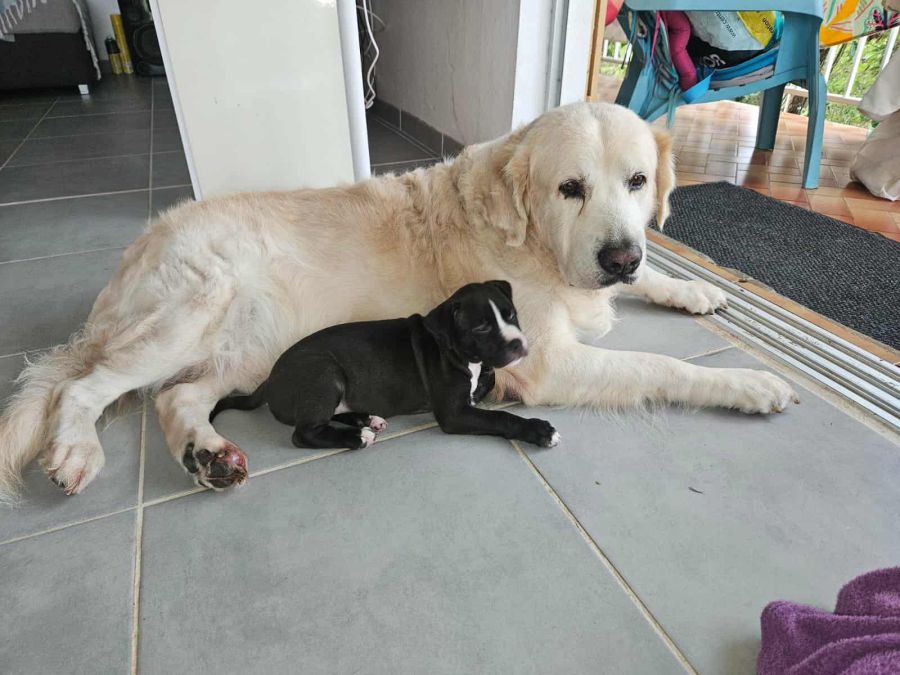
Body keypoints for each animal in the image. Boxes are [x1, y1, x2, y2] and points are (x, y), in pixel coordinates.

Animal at [207, 281, 557, 479]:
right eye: (481, 328)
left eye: (511, 314)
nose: (517, 344)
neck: (461, 353)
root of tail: (270, 377)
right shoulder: (454, 414)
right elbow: (502, 417)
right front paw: (538, 430)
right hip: (325, 374)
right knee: (303, 433)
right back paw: (356, 437)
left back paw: (367, 419)